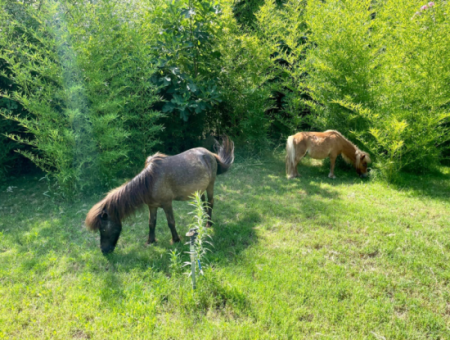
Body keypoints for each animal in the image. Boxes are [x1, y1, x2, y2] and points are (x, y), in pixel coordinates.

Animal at [84, 137, 234, 254]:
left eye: (103, 229)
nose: (104, 251)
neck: (150, 181)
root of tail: (210, 154)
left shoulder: (167, 204)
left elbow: (171, 222)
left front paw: (176, 240)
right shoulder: (152, 206)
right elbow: (151, 223)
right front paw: (150, 241)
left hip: (210, 186)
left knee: (211, 203)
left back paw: (209, 223)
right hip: (199, 190)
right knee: (202, 204)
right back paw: (202, 220)